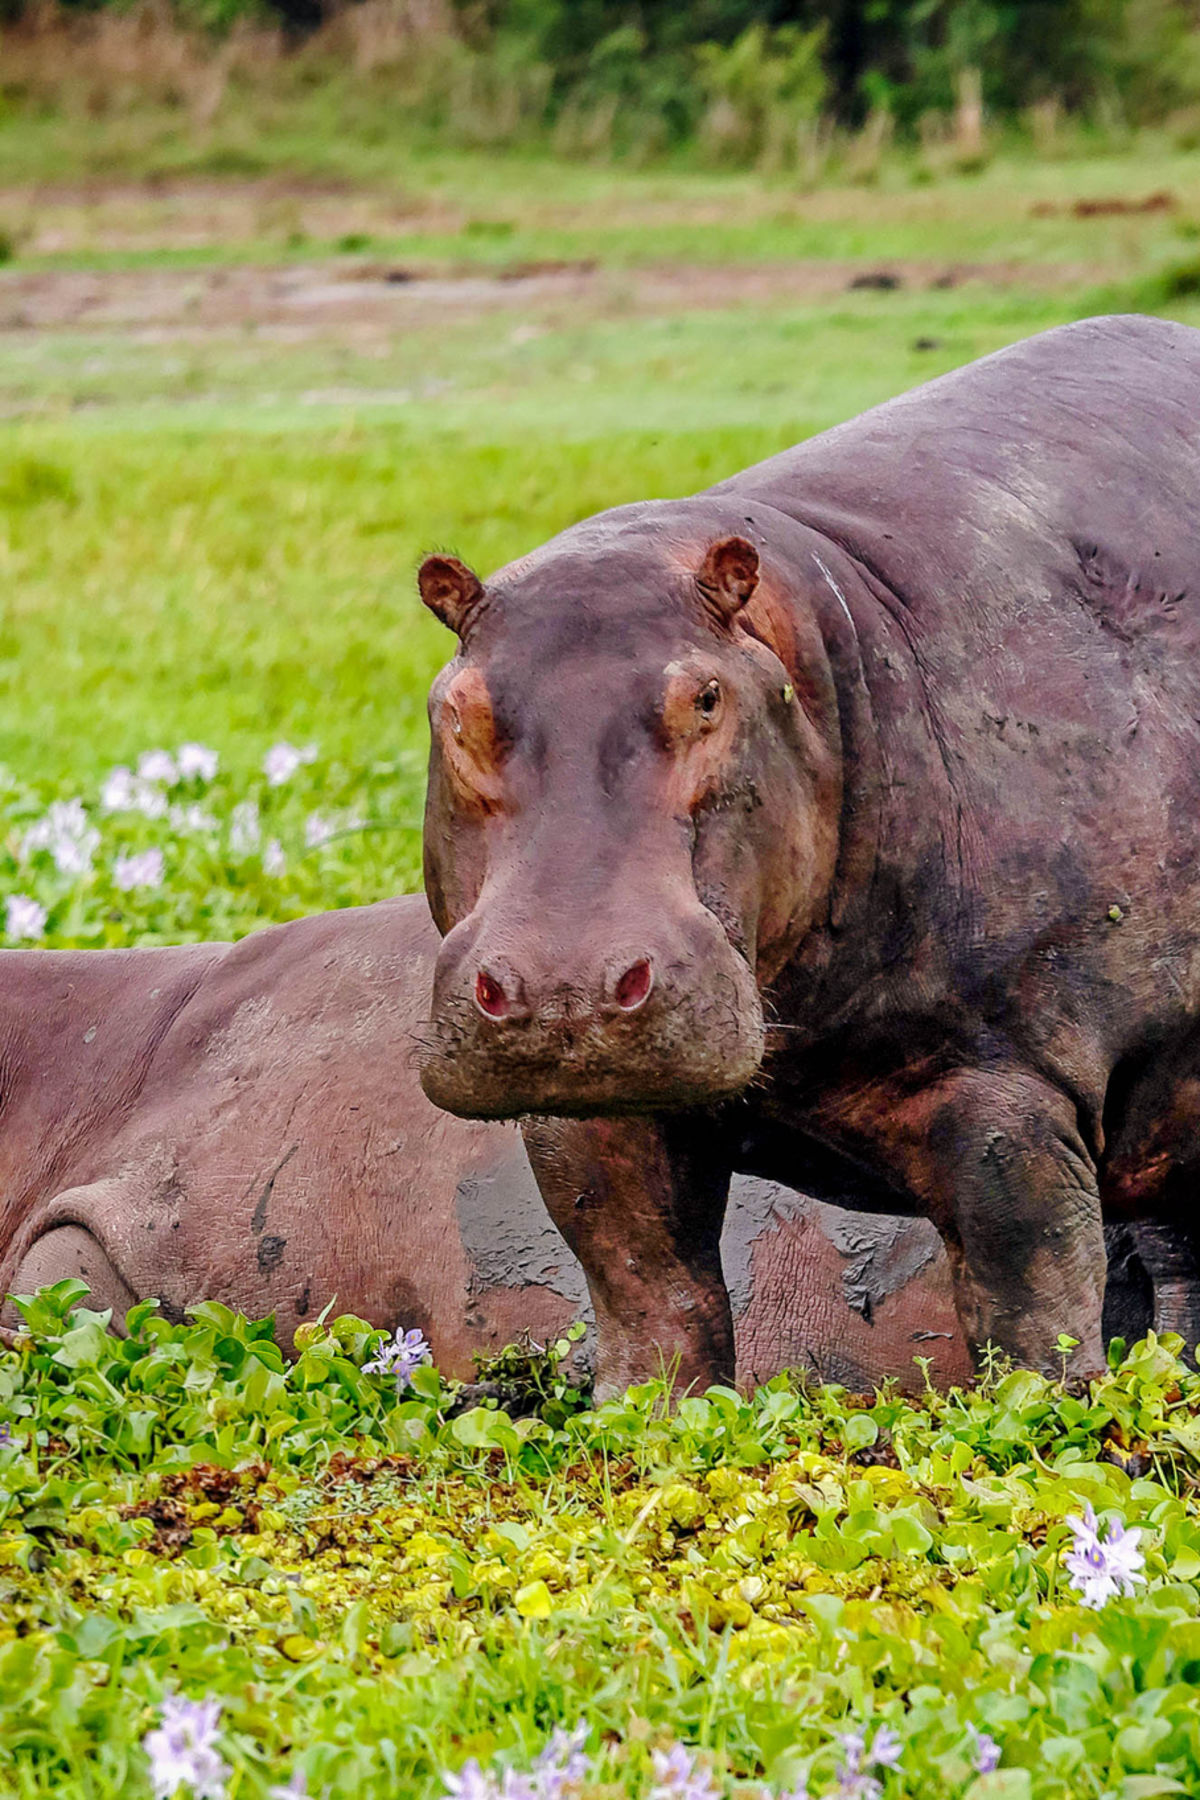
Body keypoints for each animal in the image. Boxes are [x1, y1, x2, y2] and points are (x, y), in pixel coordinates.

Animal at [417, 313, 1200, 1397]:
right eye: (455, 709)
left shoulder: (1012, 1080)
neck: (818, 655)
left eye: (706, 698)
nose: (563, 988)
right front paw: (642, 1416)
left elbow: (1028, 1304)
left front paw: (1059, 1413)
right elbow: (648, 1296)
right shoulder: (588, 1115)